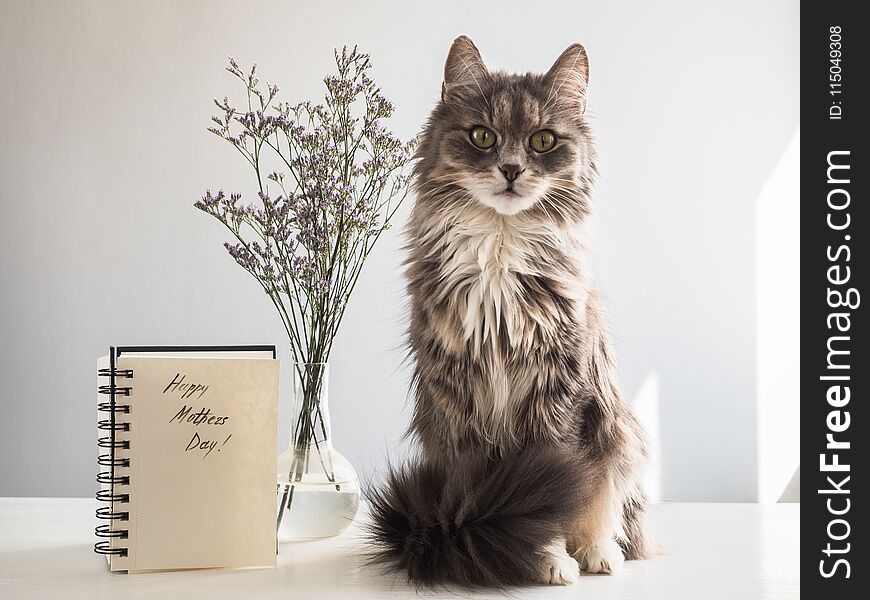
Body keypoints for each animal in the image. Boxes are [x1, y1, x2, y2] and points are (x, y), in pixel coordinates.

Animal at [370, 36, 656, 584]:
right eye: (483, 136)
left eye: (543, 141)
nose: (510, 169)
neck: (500, 252)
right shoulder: (455, 393)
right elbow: (471, 486)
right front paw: (527, 554)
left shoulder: (558, 389)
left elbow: (556, 492)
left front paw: (551, 559)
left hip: (616, 432)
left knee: (607, 513)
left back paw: (598, 555)